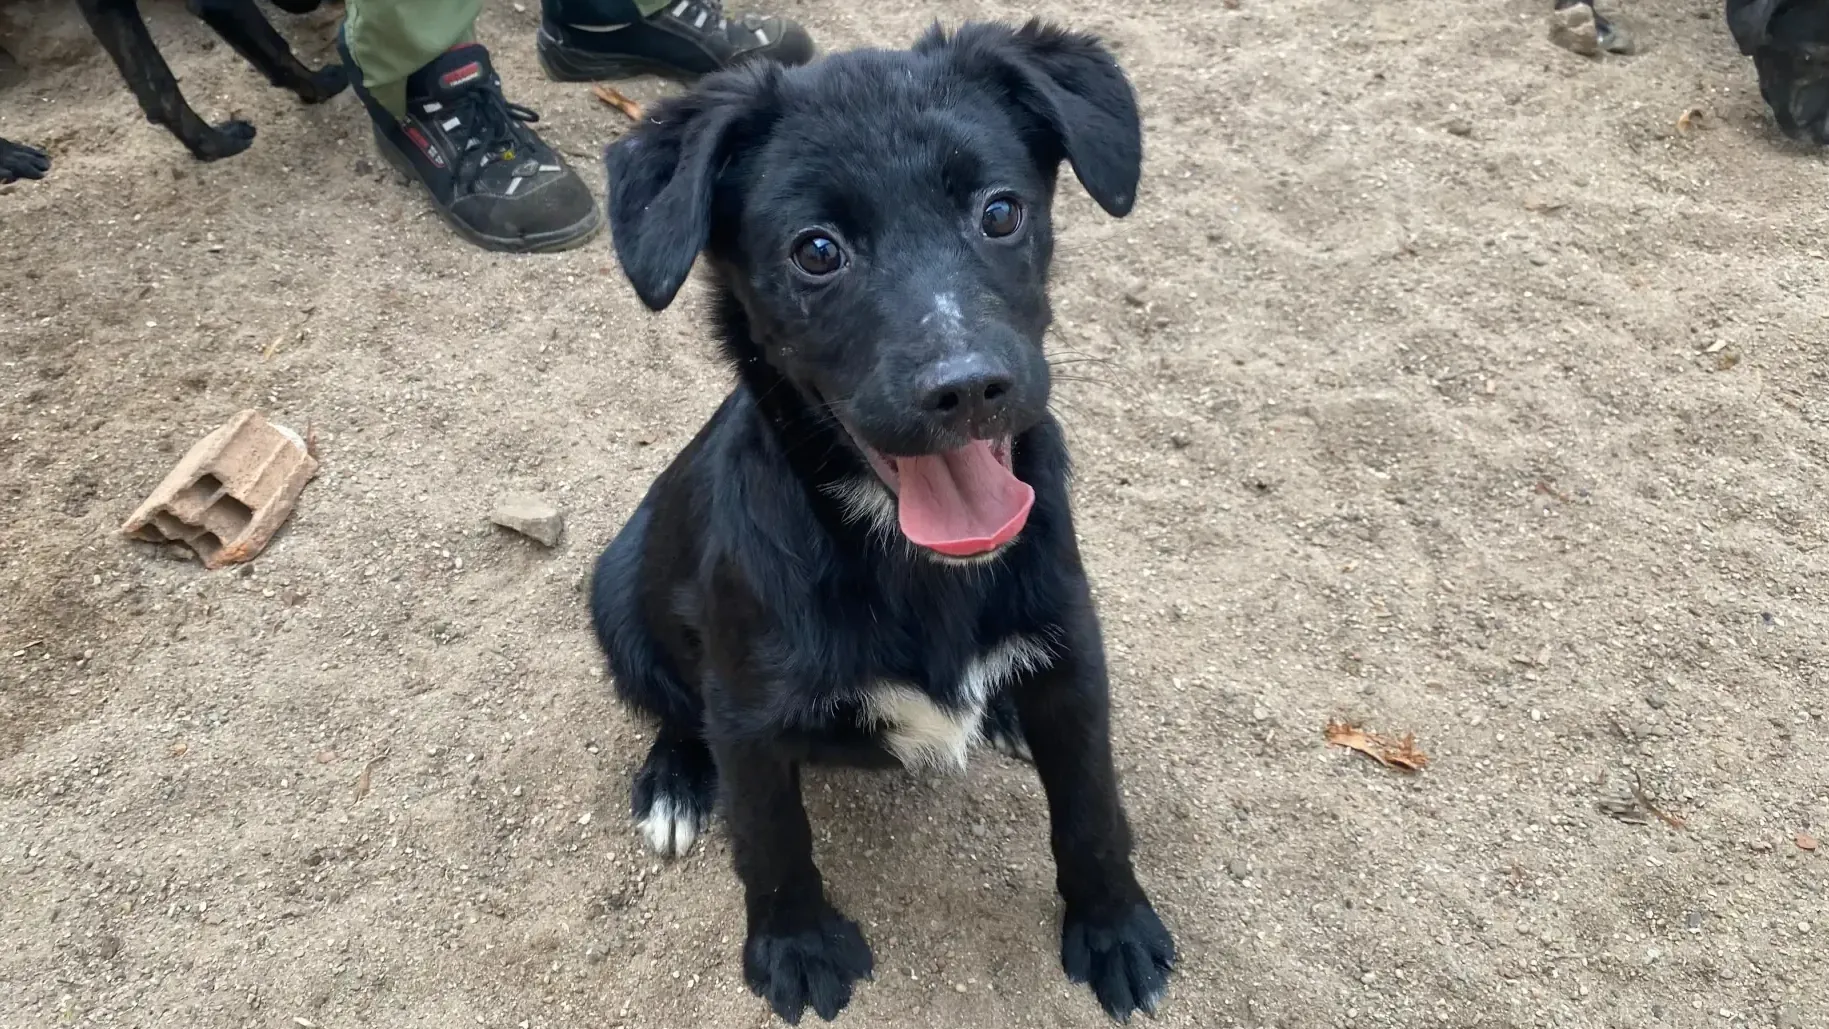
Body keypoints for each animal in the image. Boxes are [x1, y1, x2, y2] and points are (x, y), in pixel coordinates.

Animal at [592, 18, 1177, 1029]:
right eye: (817, 251)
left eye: (999, 212)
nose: (969, 387)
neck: (911, 558)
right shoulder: (747, 712)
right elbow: (772, 838)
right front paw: (794, 948)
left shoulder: (1074, 653)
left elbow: (1092, 805)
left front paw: (1113, 929)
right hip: (616, 597)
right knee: (669, 704)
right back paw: (672, 780)